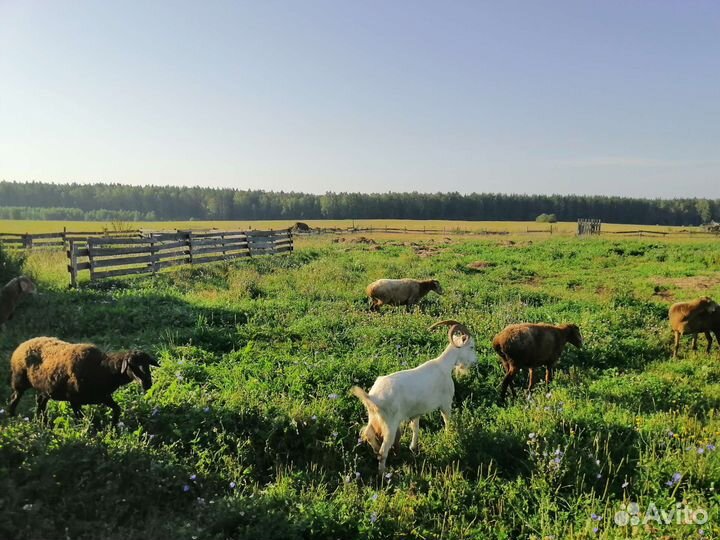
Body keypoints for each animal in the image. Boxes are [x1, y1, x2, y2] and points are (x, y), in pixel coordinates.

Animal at [7, 336, 159, 425]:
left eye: (147, 364)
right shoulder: (74, 399)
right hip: (19, 380)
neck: (103, 369)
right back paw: (12, 417)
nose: (147, 383)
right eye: (132, 365)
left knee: (40, 401)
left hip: (46, 388)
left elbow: (117, 409)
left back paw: (42, 422)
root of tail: (22, 345)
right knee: (15, 398)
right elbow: (82, 419)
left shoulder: (103, 396)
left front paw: (114, 427)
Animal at [351, 320, 477, 473]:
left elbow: (415, 427)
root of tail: (373, 399)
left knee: (368, 433)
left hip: (374, 418)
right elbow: (447, 422)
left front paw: (413, 447)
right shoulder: (446, 404)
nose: (475, 361)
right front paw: (449, 438)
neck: (443, 366)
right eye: (471, 346)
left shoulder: (416, 412)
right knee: (383, 450)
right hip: (390, 424)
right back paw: (383, 473)